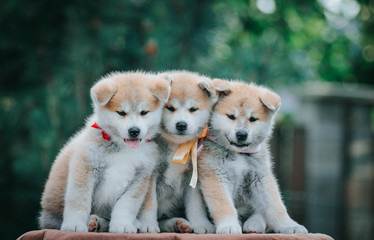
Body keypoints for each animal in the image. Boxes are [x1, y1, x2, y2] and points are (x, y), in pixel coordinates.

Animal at [38, 71, 170, 232]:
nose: (134, 131)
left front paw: (122, 225)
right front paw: (74, 224)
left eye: (144, 112)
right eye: (121, 113)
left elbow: (126, 205)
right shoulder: (85, 168)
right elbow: (79, 201)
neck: (123, 148)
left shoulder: (141, 178)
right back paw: (91, 222)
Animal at [197, 79, 308, 234]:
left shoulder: (260, 177)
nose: (241, 134)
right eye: (231, 116)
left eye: (253, 119)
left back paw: (254, 224)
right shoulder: (216, 175)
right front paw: (229, 226)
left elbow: (276, 206)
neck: (239, 154)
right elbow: (223, 205)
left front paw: (289, 225)